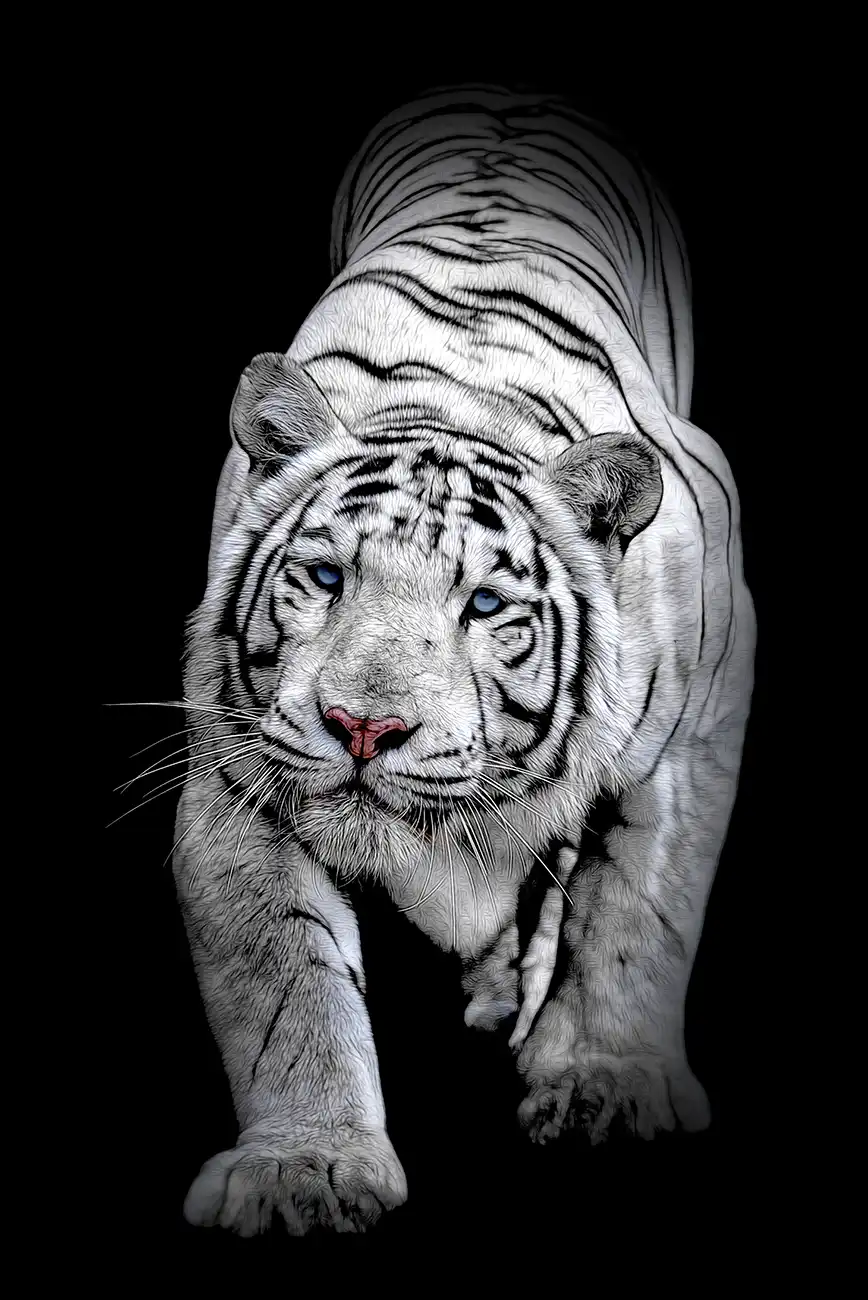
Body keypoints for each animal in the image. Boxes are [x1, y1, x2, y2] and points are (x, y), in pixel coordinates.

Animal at [174, 83, 756, 1237]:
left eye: (484, 605)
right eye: (326, 576)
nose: (364, 728)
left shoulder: (699, 713)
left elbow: (638, 911)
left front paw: (606, 1087)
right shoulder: (235, 767)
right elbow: (284, 981)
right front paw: (304, 1169)